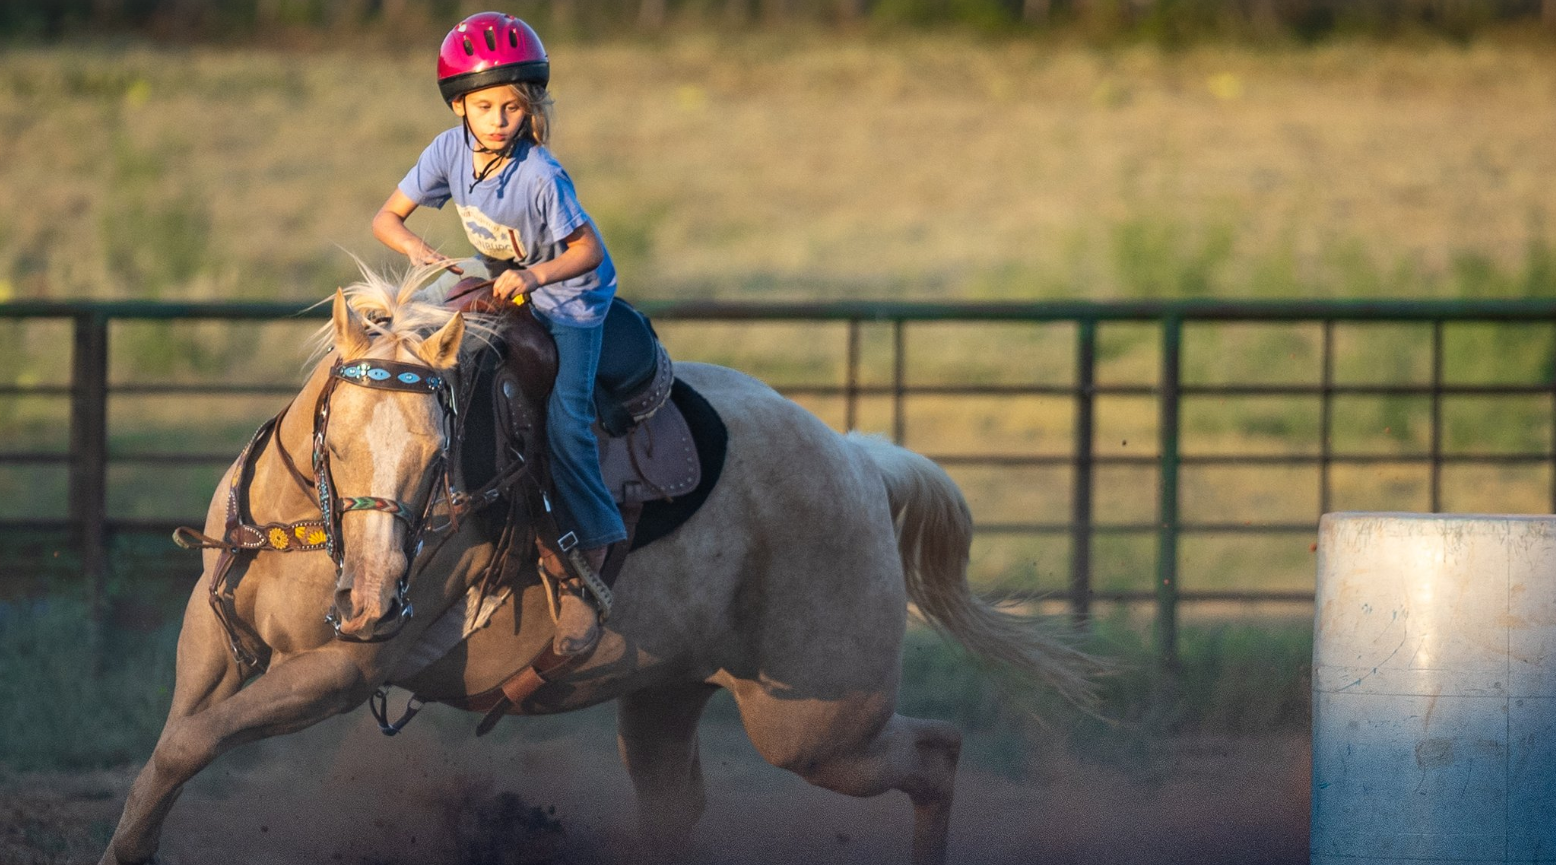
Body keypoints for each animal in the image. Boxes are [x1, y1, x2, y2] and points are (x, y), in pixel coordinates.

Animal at [98, 266, 1095, 865]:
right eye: (335, 440)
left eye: (441, 455)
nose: (376, 599)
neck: (306, 533)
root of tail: (858, 459)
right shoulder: (211, 641)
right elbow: (168, 754)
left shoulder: (340, 671)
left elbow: (187, 744)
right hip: (670, 695)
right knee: (676, 805)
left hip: (816, 723)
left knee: (936, 750)